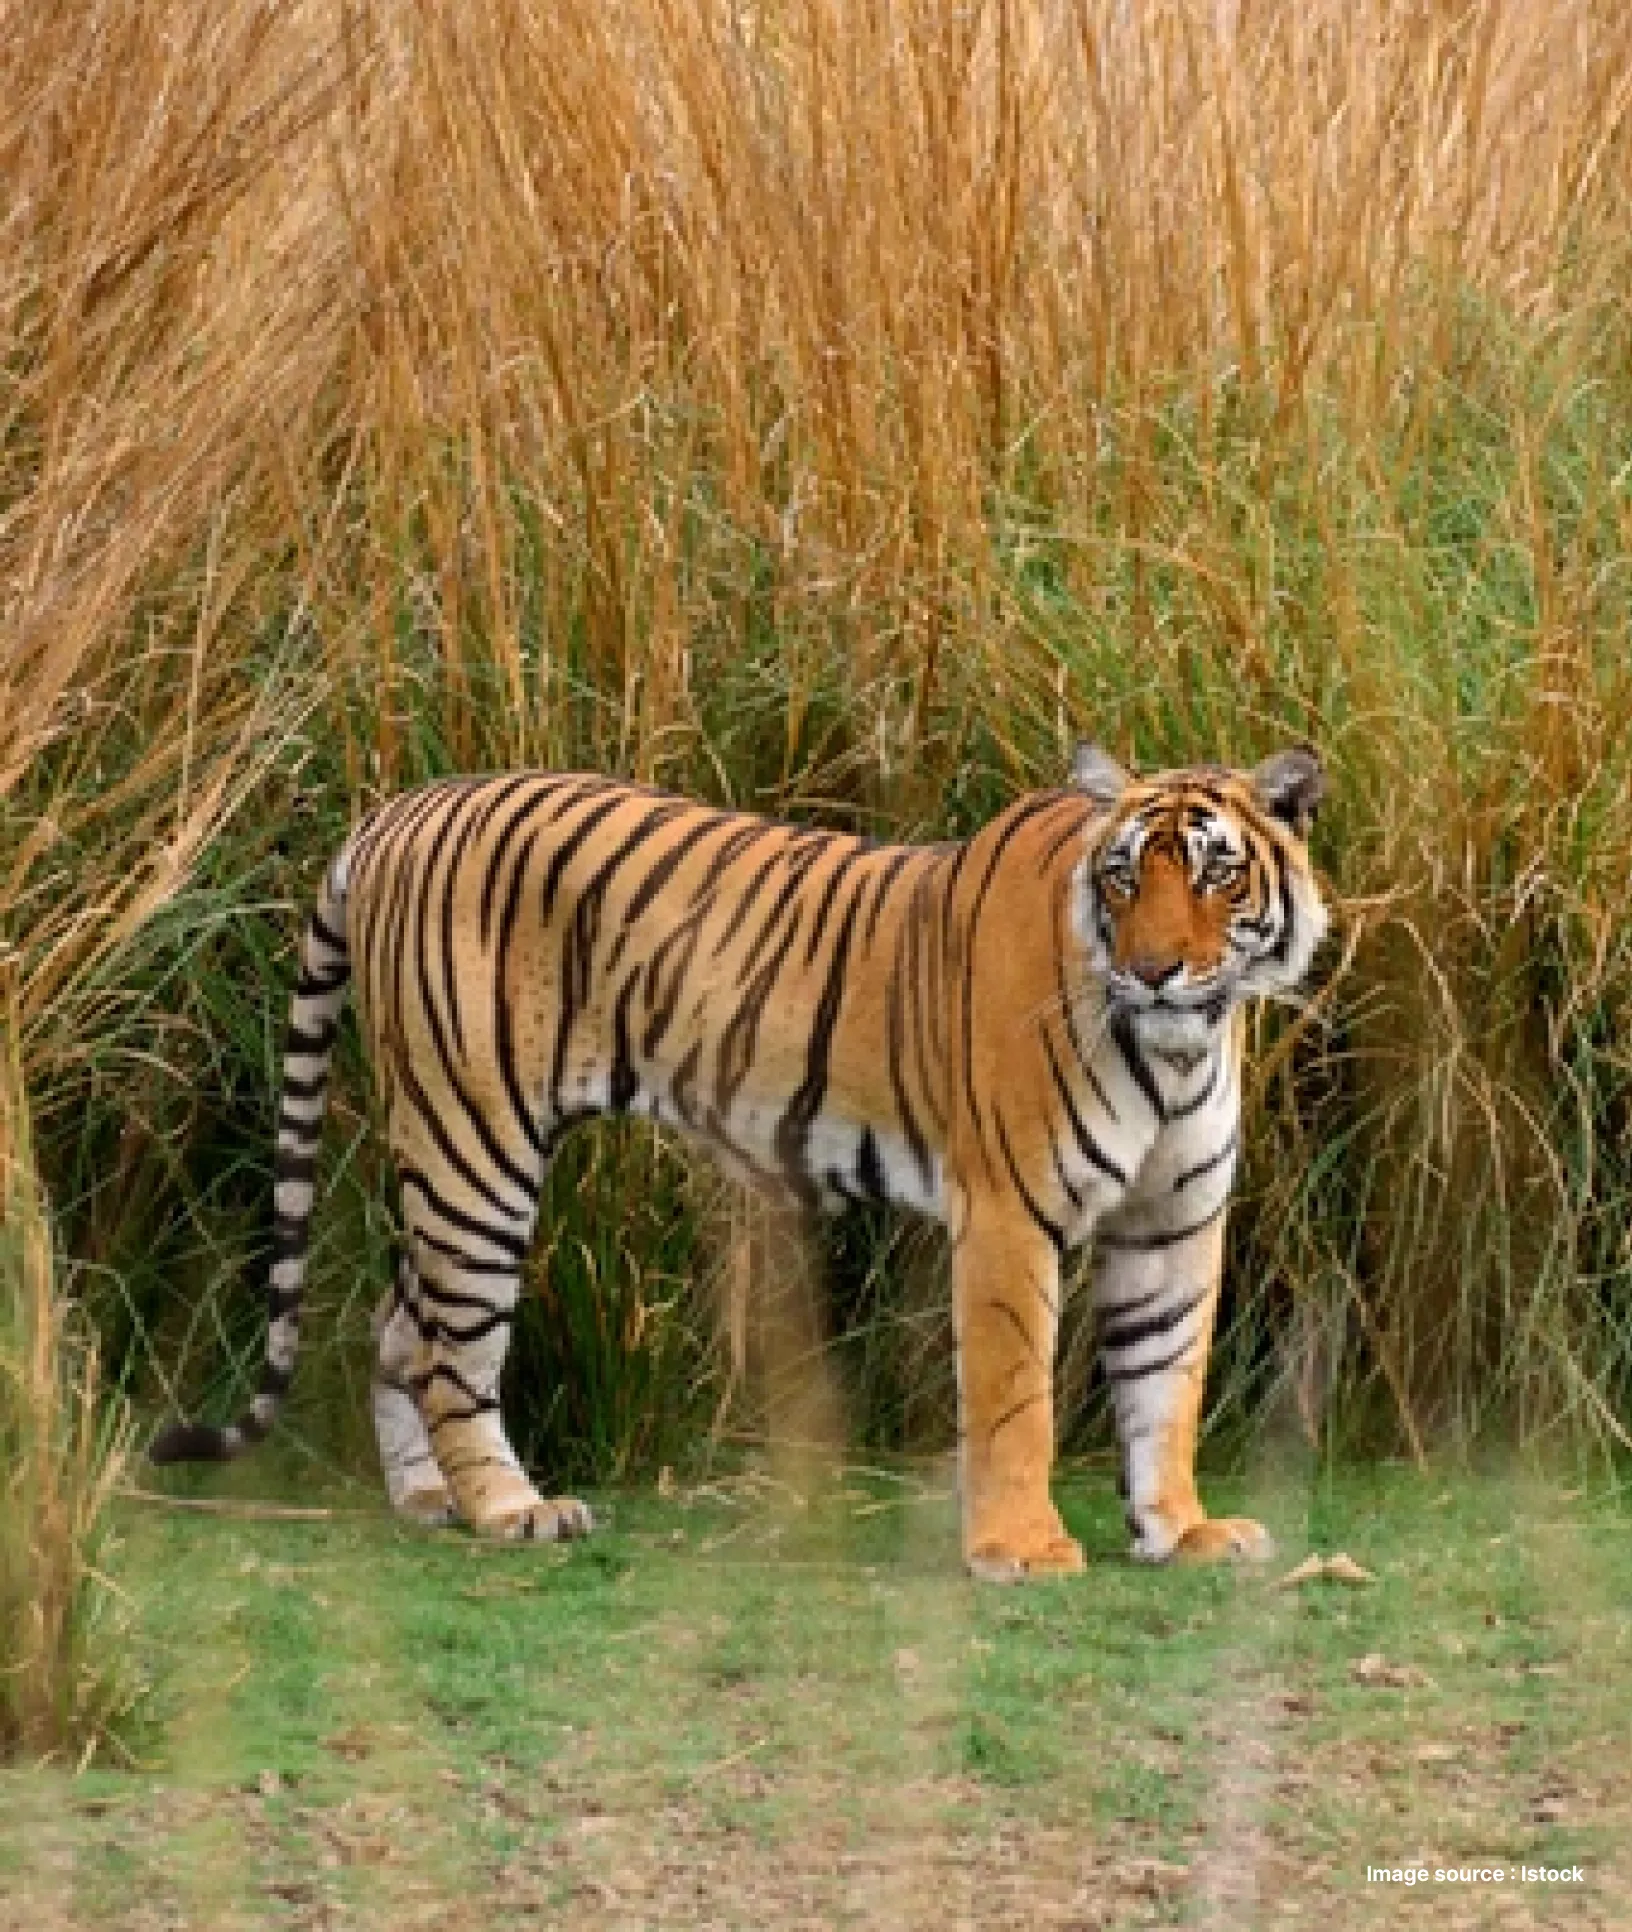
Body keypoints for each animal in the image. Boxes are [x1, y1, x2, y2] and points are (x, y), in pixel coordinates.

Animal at [150, 743, 1327, 1580]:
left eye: (1217, 877)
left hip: (452, 1158)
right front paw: (1021, 1550)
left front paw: (1181, 1530)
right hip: (471, 1144)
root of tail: (396, 810)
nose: (1156, 971)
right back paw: (511, 1508)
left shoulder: (1173, 1220)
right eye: (1124, 879)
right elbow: (1012, 1395)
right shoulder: (1008, 1210)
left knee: (401, 1323)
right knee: (455, 1347)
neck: (1179, 1047)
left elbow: (1166, 1383)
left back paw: (429, 1498)